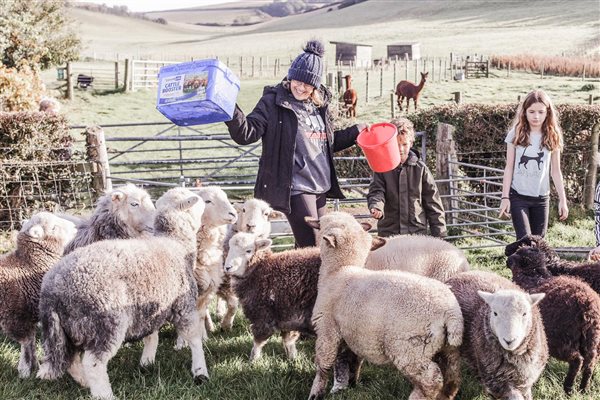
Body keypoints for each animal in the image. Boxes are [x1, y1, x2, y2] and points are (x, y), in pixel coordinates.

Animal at [0, 212, 77, 378]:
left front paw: (33, 365)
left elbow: (32, 340)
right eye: (53, 227)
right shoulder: (16, 317)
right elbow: (27, 342)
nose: (75, 228)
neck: (28, 266)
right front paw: (25, 369)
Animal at [36, 188, 209, 400]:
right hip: (106, 322)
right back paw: (104, 394)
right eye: (196, 200)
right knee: (93, 363)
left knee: (70, 360)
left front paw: (147, 362)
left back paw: (85, 382)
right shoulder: (184, 305)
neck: (175, 242)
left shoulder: (151, 307)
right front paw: (200, 372)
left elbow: (151, 336)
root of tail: (52, 291)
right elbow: (194, 338)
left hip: (68, 329)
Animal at [223, 231, 322, 360]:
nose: (227, 267)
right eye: (230, 248)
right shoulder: (286, 314)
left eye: (248, 251)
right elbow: (288, 340)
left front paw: (253, 360)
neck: (260, 269)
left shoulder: (263, 314)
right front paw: (293, 358)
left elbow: (258, 341)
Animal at [304, 212, 464, 400]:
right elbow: (352, 359)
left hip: (410, 348)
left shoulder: (327, 329)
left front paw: (315, 393)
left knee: (432, 379)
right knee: (452, 375)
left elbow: (323, 364)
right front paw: (352, 382)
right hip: (449, 347)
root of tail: (451, 313)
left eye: (322, 226)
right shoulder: (352, 332)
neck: (341, 271)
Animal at [446, 268, 548, 400]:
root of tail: (458, 275)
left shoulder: (526, 380)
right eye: (495, 313)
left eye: (525, 313)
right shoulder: (498, 382)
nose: (509, 340)